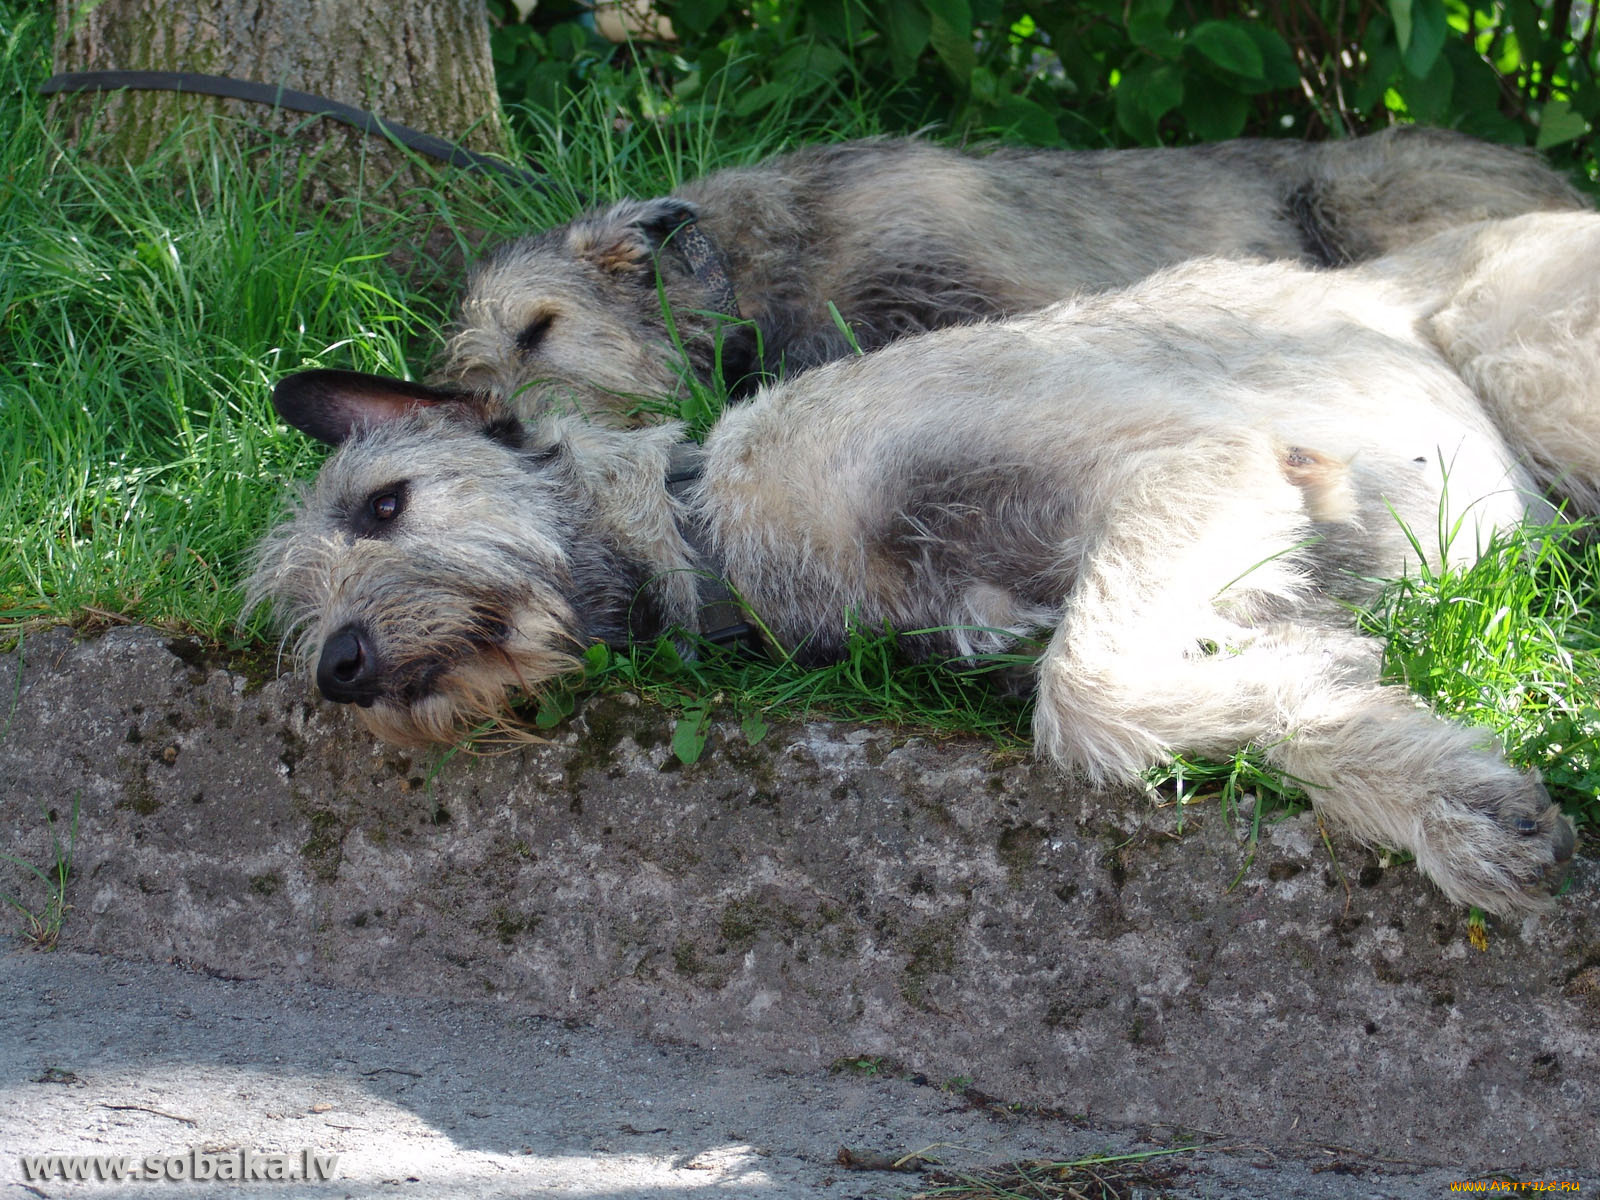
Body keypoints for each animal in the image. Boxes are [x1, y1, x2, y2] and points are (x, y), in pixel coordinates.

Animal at [252, 211, 1600, 915]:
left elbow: (1085, 694)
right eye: (297, 603)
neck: (709, 517)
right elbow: (1203, 687)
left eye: (383, 504)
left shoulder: (1197, 464)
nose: (337, 668)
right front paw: (1435, 787)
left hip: (1532, 374)